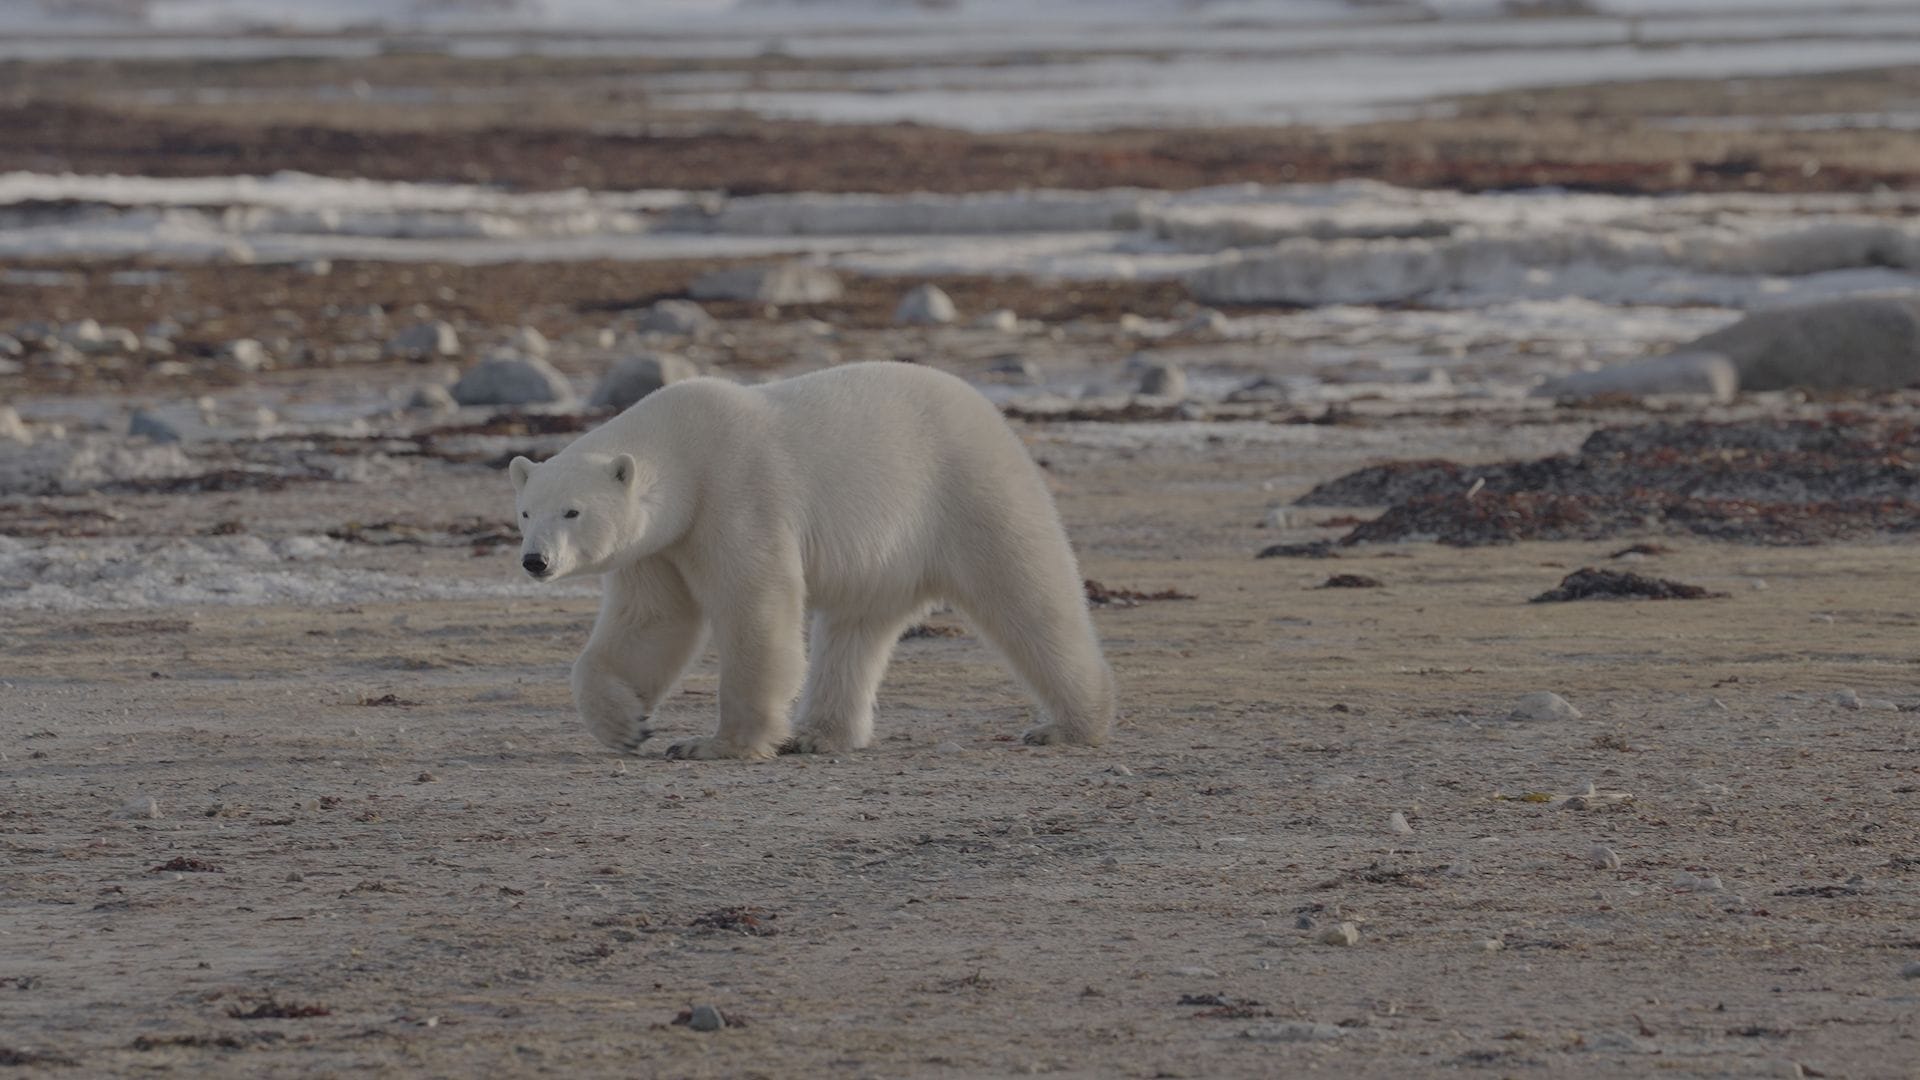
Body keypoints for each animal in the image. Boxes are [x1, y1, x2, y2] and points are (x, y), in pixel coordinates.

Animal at [503, 361, 1121, 757]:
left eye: (572, 511)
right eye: (526, 512)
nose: (535, 561)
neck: (685, 450)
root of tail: (985, 407)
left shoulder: (736, 495)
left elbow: (755, 608)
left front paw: (715, 744)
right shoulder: (661, 545)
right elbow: (652, 622)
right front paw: (626, 725)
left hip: (967, 488)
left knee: (1027, 593)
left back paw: (1068, 726)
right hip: (884, 554)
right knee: (855, 632)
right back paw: (818, 734)